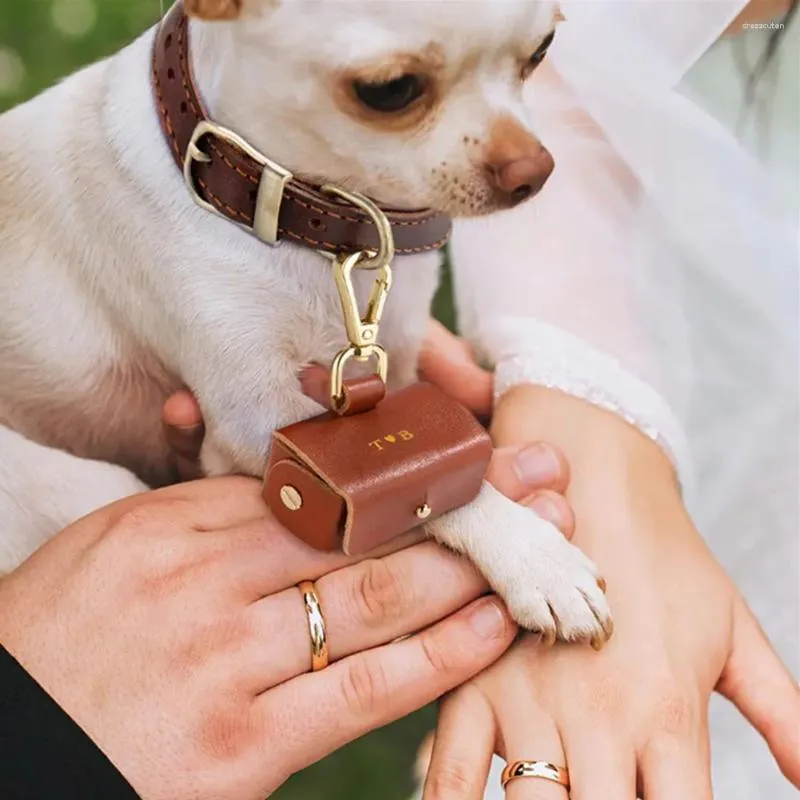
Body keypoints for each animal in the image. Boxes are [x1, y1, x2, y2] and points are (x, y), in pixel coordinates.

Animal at [0, 0, 608, 640]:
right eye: (390, 90)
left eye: (540, 52)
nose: (533, 171)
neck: (320, 235)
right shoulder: (257, 418)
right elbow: (437, 488)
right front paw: (534, 555)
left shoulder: (393, 365)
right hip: (85, 484)